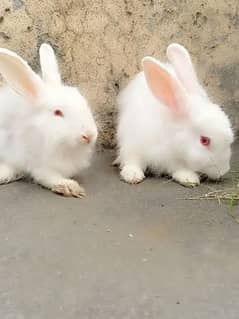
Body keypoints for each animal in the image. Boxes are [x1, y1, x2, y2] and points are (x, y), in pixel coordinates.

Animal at [0, 43, 98, 196]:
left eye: (84, 101)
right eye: (57, 112)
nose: (89, 135)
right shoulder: (40, 165)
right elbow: (49, 177)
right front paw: (71, 187)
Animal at [116, 43, 233, 186]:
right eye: (204, 140)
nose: (223, 171)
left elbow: (178, 168)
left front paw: (188, 177)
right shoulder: (133, 143)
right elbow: (132, 160)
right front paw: (132, 175)